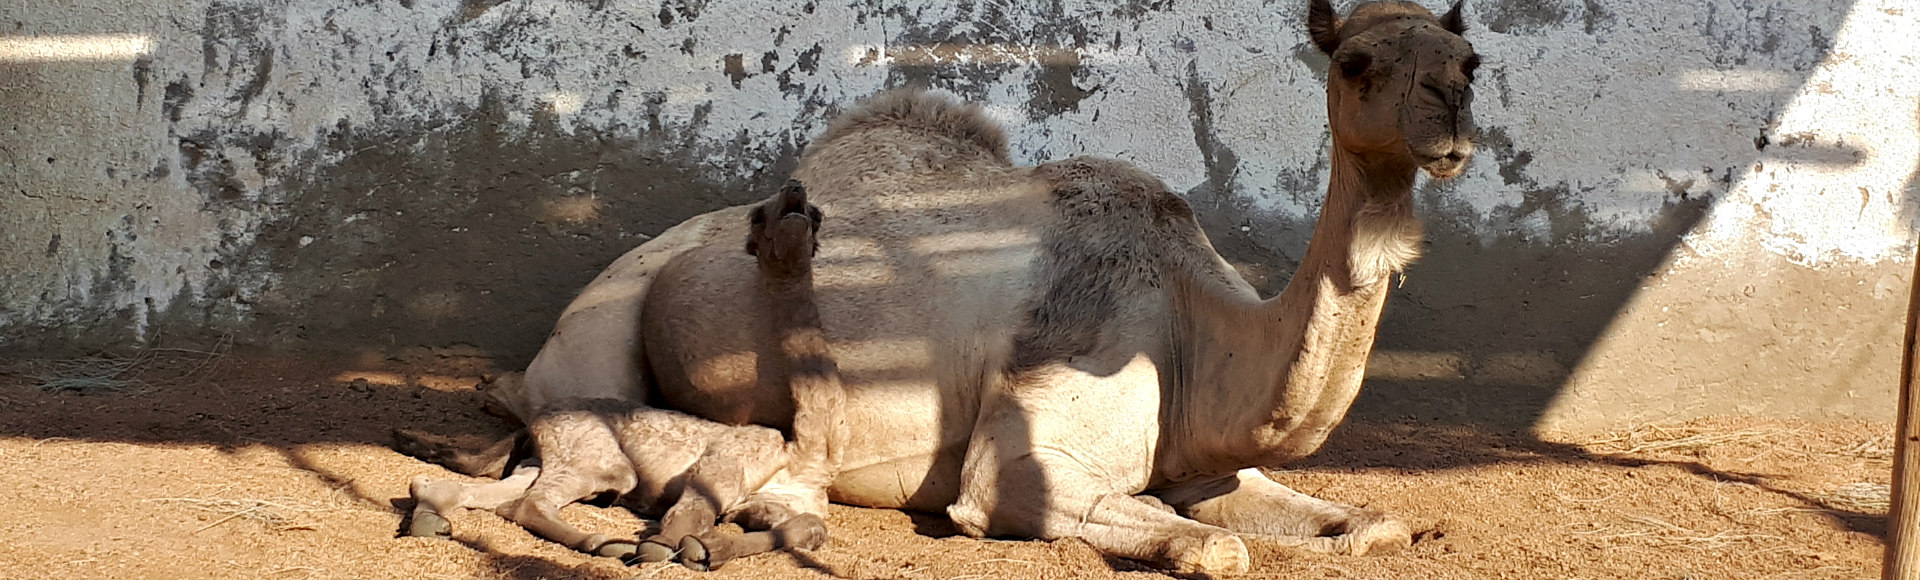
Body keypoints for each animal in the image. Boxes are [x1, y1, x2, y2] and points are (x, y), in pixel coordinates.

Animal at [403, 182, 840, 572]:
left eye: (817, 215)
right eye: (757, 215)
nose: (795, 189)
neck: (804, 452)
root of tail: (536, 421)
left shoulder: (783, 502)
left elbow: (809, 528)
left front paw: (708, 551)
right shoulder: (726, 463)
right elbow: (684, 520)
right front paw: (669, 548)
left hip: (541, 459)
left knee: (462, 489)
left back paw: (432, 519)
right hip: (600, 462)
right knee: (525, 503)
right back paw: (605, 543)